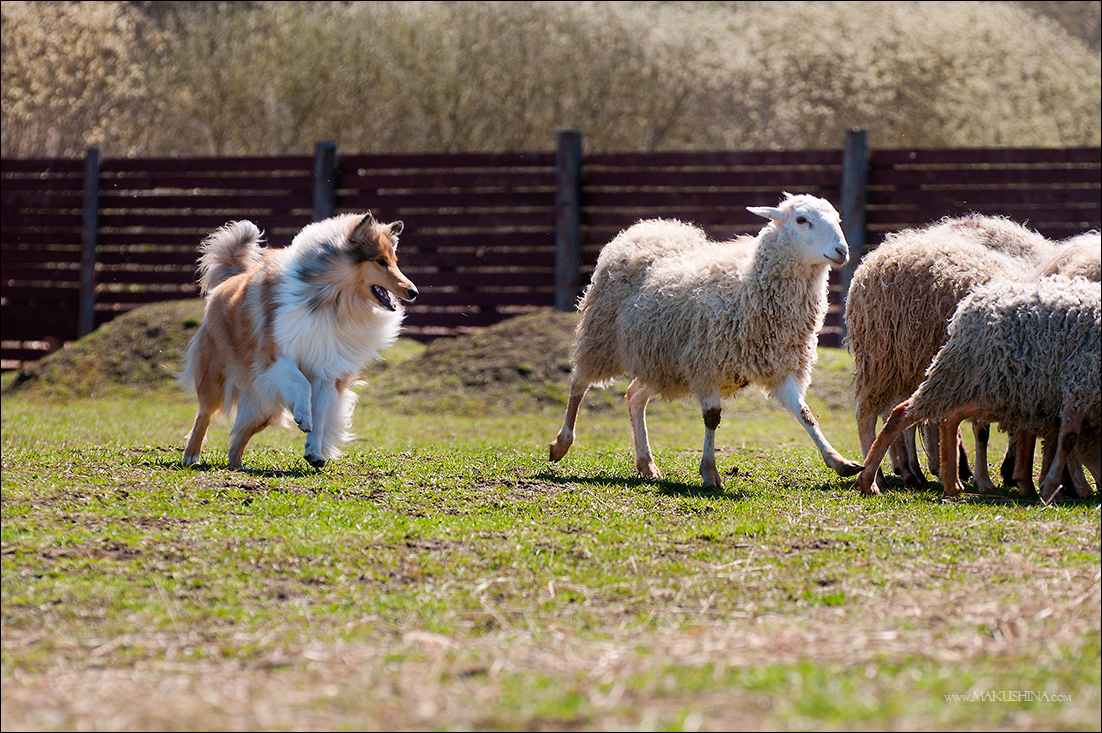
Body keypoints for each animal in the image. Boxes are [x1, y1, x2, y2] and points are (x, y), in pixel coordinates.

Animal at [180, 210, 416, 469]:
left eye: (394, 260)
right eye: (380, 261)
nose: (413, 292)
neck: (331, 301)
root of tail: (232, 278)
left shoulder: (327, 372)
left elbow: (321, 414)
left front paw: (314, 452)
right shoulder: (274, 357)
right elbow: (301, 382)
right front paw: (303, 416)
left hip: (265, 403)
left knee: (240, 434)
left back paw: (236, 465)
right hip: (217, 376)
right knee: (204, 414)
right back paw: (191, 455)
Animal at [546, 192, 863, 484]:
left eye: (836, 219)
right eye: (801, 220)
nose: (842, 250)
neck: (747, 288)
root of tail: (647, 227)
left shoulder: (779, 367)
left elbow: (805, 413)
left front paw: (838, 461)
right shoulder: (706, 365)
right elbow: (712, 417)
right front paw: (710, 473)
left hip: (659, 361)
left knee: (634, 396)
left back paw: (646, 464)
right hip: (600, 338)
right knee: (578, 384)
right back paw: (561, 444)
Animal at [841, 216, 1057, 491]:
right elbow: (982, 430)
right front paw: (987, 479)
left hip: (910, 362)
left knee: (906, 414)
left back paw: (915, 471)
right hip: (883, 357)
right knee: (869, 415)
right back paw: (879, 476)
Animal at [859, 274, 1102, 502]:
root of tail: (972, 300)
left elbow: (1053, 441)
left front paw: (1045, 487)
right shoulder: (1079, 385)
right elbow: (1067, 440)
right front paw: (1051, 488)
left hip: (998, 387)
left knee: (946, 416)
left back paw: (951, 482)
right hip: (967, 374)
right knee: (903, 413)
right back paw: (870, 480)